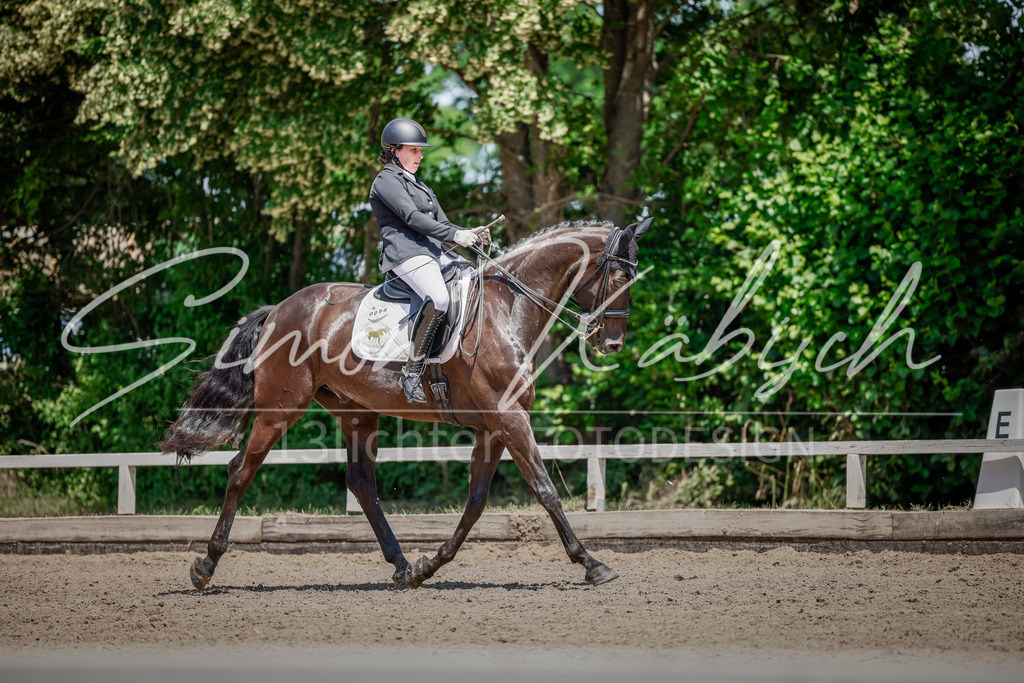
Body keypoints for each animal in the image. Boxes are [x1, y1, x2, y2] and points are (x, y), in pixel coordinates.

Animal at [160, 217, 652, 590]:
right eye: (621, 276)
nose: (611, 343)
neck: (507, 306)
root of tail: (279, 310)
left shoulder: (492, 428)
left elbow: (476, 503)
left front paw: (427, 567)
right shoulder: (510, 419)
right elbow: (546, 490)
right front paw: (593, 564)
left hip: (356, 412)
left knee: (361, 484)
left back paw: (400, 567)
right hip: (280, 410)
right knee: (240, 471)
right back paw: (205, 566)